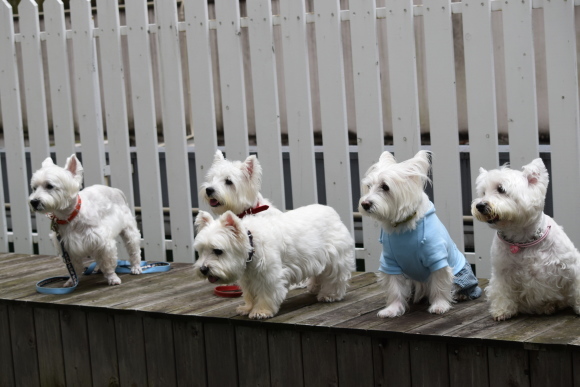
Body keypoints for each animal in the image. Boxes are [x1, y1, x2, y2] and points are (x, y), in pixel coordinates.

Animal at [28, 155, 143, 288]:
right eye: (34, 188)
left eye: (50, 186)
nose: (34, 202)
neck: (69, 217)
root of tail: (116, 190)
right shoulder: (67, 247)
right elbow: (74, 267)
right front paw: (72, 280)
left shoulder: (102, 241)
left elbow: (108, 262)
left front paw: (112, 278)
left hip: (129, 229)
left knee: (134, 249)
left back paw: (136, 267)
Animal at [191, 205, 354, 320]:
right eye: (200, 251)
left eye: (218, 251)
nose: (203, 269)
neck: (252, 245)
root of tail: (333, 212)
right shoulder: (249, 279)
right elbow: (250, 295)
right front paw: (247, 308)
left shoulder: (269, 276)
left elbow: (266, 294)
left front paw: (261, 311)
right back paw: (315, 287)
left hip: (335, 259)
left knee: (335, 278)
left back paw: (330, 295)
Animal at [358, 152, 480, 318]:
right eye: (369, 186)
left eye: (385, 187)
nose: (365, 204)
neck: (402, 226)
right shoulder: (390, 262)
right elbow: (395, 288)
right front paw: (392, 309)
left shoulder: (436, 257)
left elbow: (439, 285)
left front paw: (439, 306)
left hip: (462, 273)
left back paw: (461, 294)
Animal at [472, 158, 580, 322]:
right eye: (483, 192)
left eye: (501, 189)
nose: (480, 205)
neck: (521, 239)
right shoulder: (502, 272)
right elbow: (502, 291)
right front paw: (502, 311)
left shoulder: (571, 266)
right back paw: (547, 307)